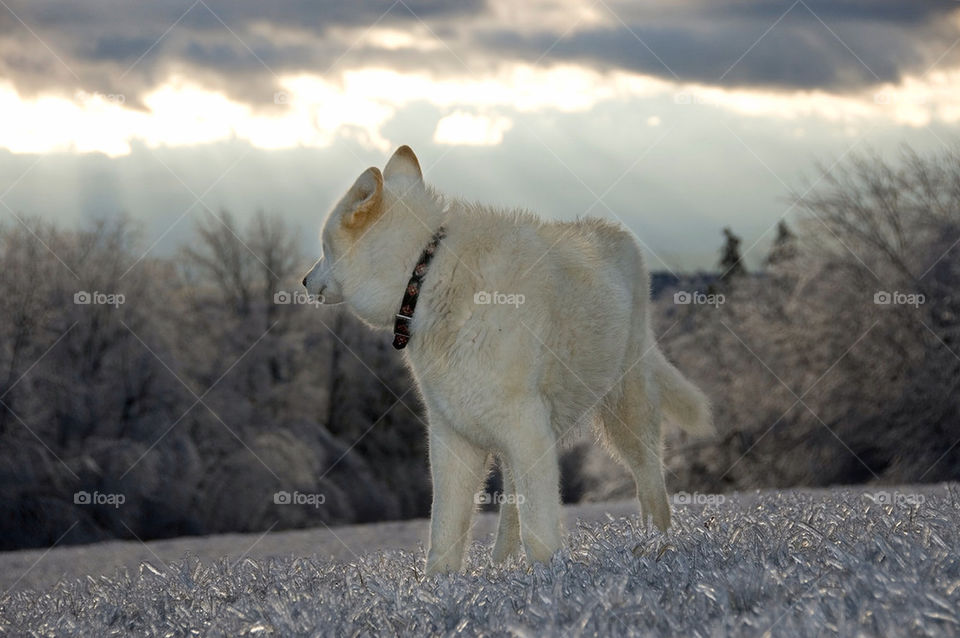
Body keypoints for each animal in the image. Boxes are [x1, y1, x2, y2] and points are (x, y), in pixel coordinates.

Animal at [302, 148, 712, 576]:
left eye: (324, 248)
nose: (302, 281)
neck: (426, 275)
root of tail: (619, 233)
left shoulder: (526, 433)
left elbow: (541, 533)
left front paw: (551, 580)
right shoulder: (454, 438)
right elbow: (444, 534)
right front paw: (438, 588)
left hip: (622, 416)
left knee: (651, 485)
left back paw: (655, 548)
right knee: (515, 505)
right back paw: (503, 567)